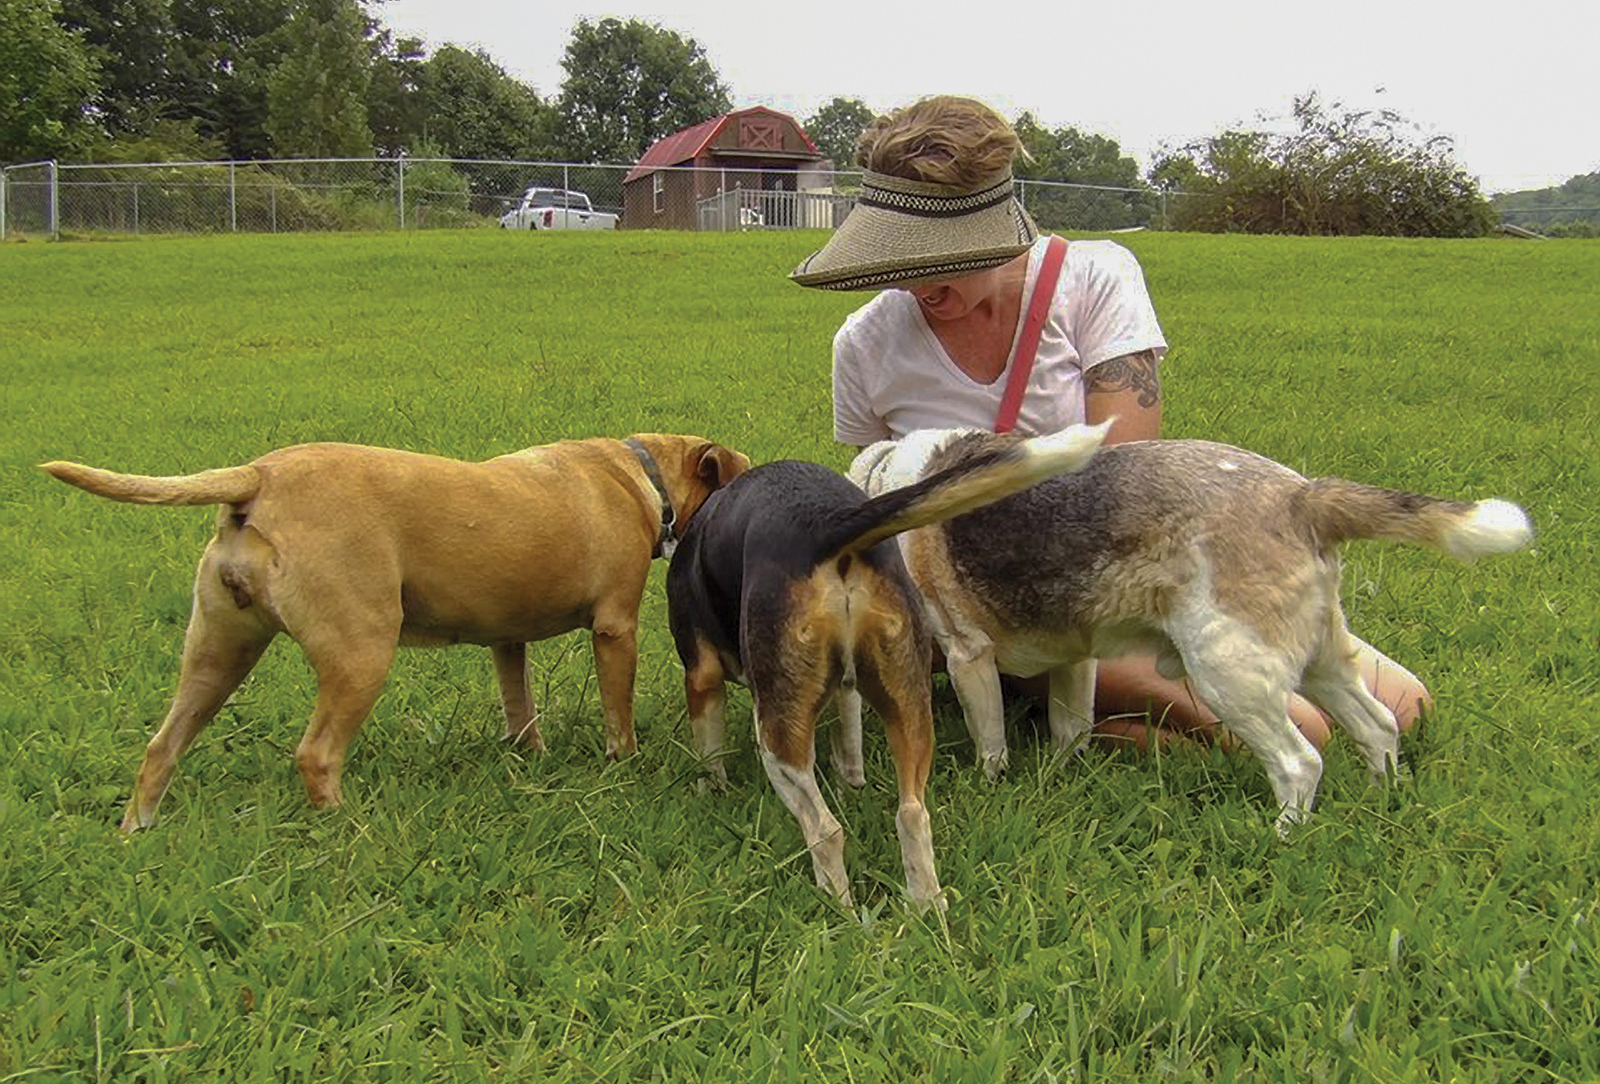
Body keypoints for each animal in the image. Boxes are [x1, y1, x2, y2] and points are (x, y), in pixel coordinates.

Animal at [40, 431, 752, 831]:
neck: (641, 473)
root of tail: (259, 475)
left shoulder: (506, 639)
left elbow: (519, 705)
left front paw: (532, 758)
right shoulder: (614, 628)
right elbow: (617, 712)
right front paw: (621, 764)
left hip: (218, 650)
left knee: (162, 745)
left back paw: (137, 831)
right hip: (361, 652)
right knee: (316, 753)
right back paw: (346, 826)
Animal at [668, 425, 1107, 908]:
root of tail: (826, 522)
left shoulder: (701, 677)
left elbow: (709, 752)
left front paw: (712, 791)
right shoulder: (846, 690)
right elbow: (849, 755)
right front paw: (851, 789)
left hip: (777, 732)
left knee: (825, 830)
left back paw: (837, 906)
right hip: (909, 702)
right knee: (913, 813)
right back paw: (925, 904)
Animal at [851, 431, 1536, 831]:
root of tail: (1303, 498)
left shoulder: (969, 654)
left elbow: (991, 741)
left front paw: (993, 788)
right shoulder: (1075, 659)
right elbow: (1070, 732)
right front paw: (1056, 782)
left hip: (1230, 673)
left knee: (1299, 762)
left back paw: (1282, 838)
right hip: (1325, 664)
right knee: (1379, 727)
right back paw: (1382, 801)